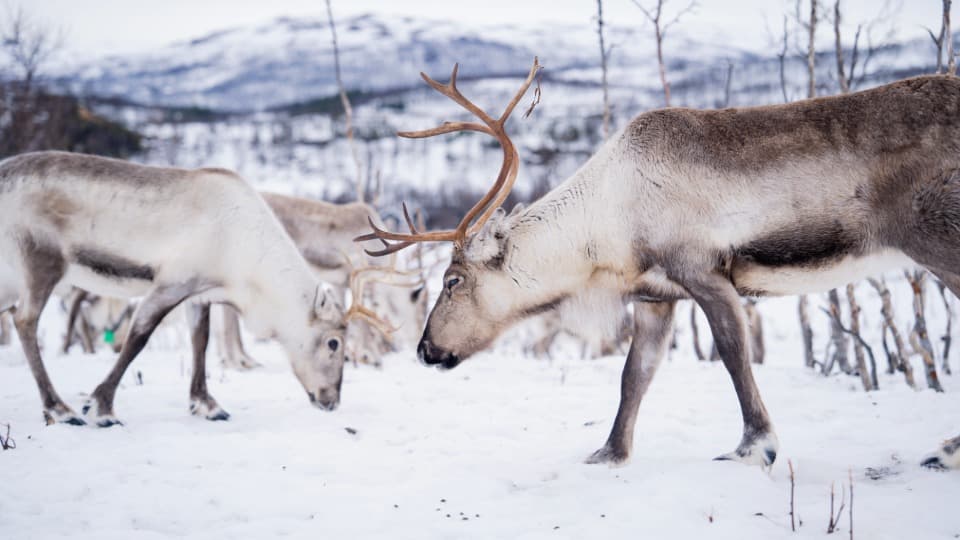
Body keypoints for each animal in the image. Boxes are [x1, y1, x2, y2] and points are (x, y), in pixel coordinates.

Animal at [0, 152, 385, 427]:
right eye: (334, 343)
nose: (331, 401)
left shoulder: (201, 294)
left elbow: (200, 342)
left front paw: (207, 404)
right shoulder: (172, 282)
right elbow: (138, 338)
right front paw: (101, 406)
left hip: (10, 281)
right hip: (41, 263)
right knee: (25, 321)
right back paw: (60, 408)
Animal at [359, 58, 960, 470]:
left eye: (453, 279)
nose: (425, 350)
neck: (609, 222)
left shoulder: (704, 272)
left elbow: (733, 355)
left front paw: (754, 446)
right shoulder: (654, 295)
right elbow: (634, 376)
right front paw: (609, 453)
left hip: (936, 238)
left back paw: (947, 449)